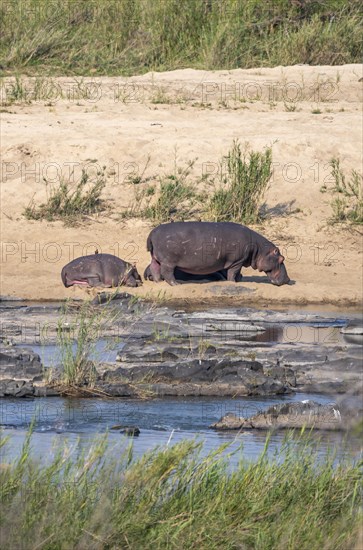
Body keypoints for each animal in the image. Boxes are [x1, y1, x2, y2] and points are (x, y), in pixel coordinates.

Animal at [146, 221, 292, 286]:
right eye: (281, 258)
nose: (288, 279)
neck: (259, 249)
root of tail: (152, 232)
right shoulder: (237, 261)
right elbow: (233, 272)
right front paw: (233, 282)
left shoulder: (238, 261)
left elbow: (236, 273)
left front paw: (239, 280)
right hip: (168, 261)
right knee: (167, 273)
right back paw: (176, 284)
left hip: (155, 258)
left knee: (155, 268)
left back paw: (158, 282)